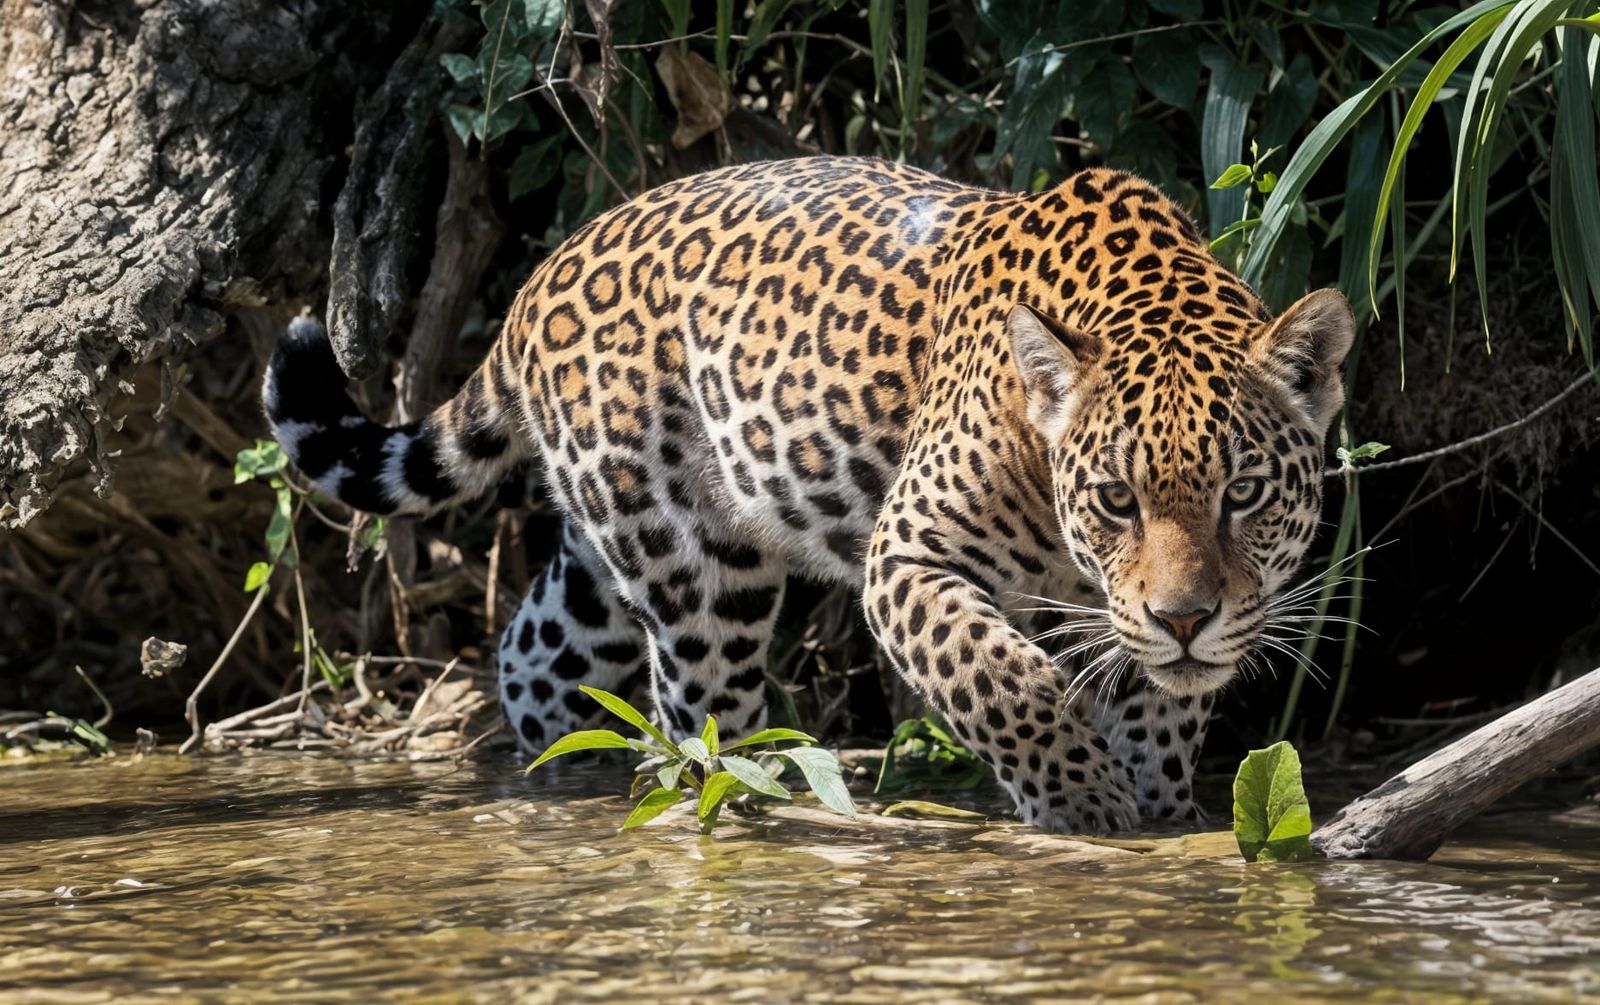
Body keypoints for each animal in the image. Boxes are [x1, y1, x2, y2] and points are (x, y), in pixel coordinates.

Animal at [263, 156, 1353, 833]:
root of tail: (546, 270)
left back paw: (561, 775)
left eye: (1244, 493)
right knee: (705, 725)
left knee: (535, 652)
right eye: (1117, 500)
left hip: (605, 557)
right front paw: (1081, 805)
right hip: (700, 574)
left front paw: (1160, 810)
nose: (1183, 619)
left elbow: (1160, 708)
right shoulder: (908, 553)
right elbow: (1002, 677)